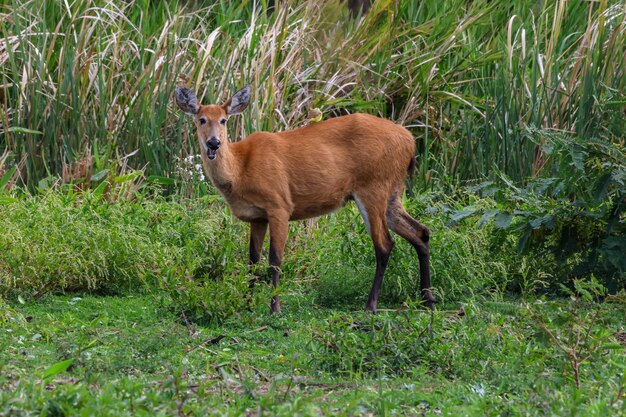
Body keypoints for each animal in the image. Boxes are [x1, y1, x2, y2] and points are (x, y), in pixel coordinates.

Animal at [173, 84, 432, 312]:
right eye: (201, 119)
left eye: (224, 120)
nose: (214, 142)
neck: (240, 169)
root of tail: (409, 141)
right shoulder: (257, 217)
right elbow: (252, 260)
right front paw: (247, 305)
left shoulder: (279, 205)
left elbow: (275, 259)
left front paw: (275, 308)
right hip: (393, 191)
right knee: (421, 232)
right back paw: (427, 300)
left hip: (373, 186)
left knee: (384, 244)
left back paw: (371, 305)